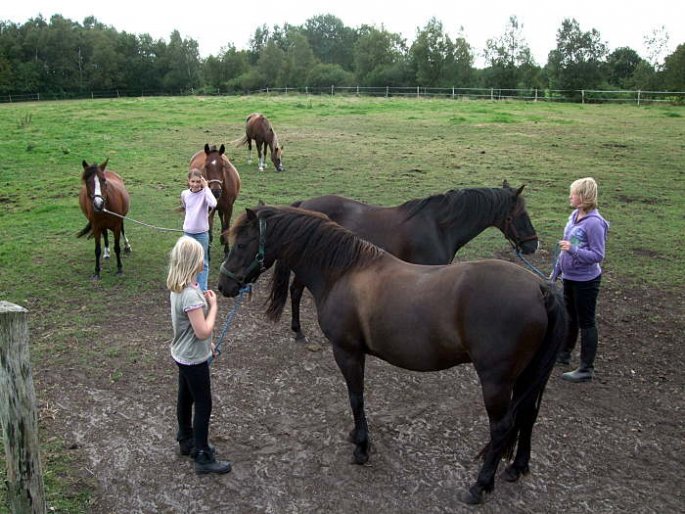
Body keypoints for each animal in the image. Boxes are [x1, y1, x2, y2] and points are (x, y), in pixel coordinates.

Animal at [218, 204, 568, 504]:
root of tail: (541, 289)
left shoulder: (347, 351)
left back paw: (480, 486)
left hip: (496, 381)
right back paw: (516, 467)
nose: (224, 285)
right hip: (528, 376)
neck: (343, 270)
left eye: (241, 244)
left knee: (501, 428)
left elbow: (356, 397)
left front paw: (361, 448)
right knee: (528, 415)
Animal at [286, 180, 536, 340]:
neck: (439, 226)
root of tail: (303, 204)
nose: (533, 245)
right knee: (295, 291)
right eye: (521, 215)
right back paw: (298, 331)